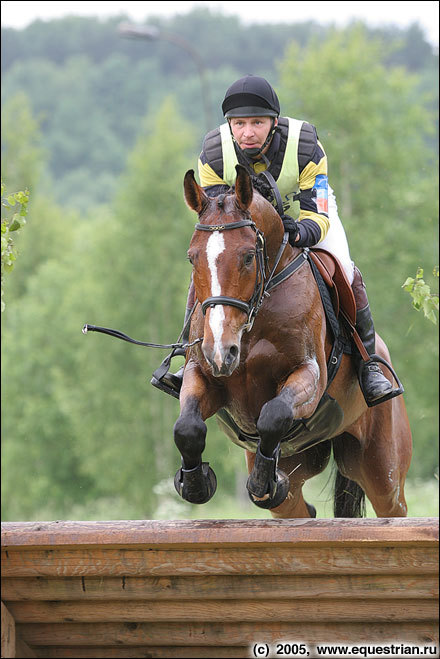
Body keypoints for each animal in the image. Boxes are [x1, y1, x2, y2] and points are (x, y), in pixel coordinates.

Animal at [173, 165, 412, 520]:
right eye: (192, 259)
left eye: (248, 257)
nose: (221, 352)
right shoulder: (204, 375)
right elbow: (187, 427)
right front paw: (195, 483)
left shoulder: (308, 374)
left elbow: (273, 414)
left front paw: (263, 481)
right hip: (301, 463)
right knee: (295, 507)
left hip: (383, 470)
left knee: (391, 504)